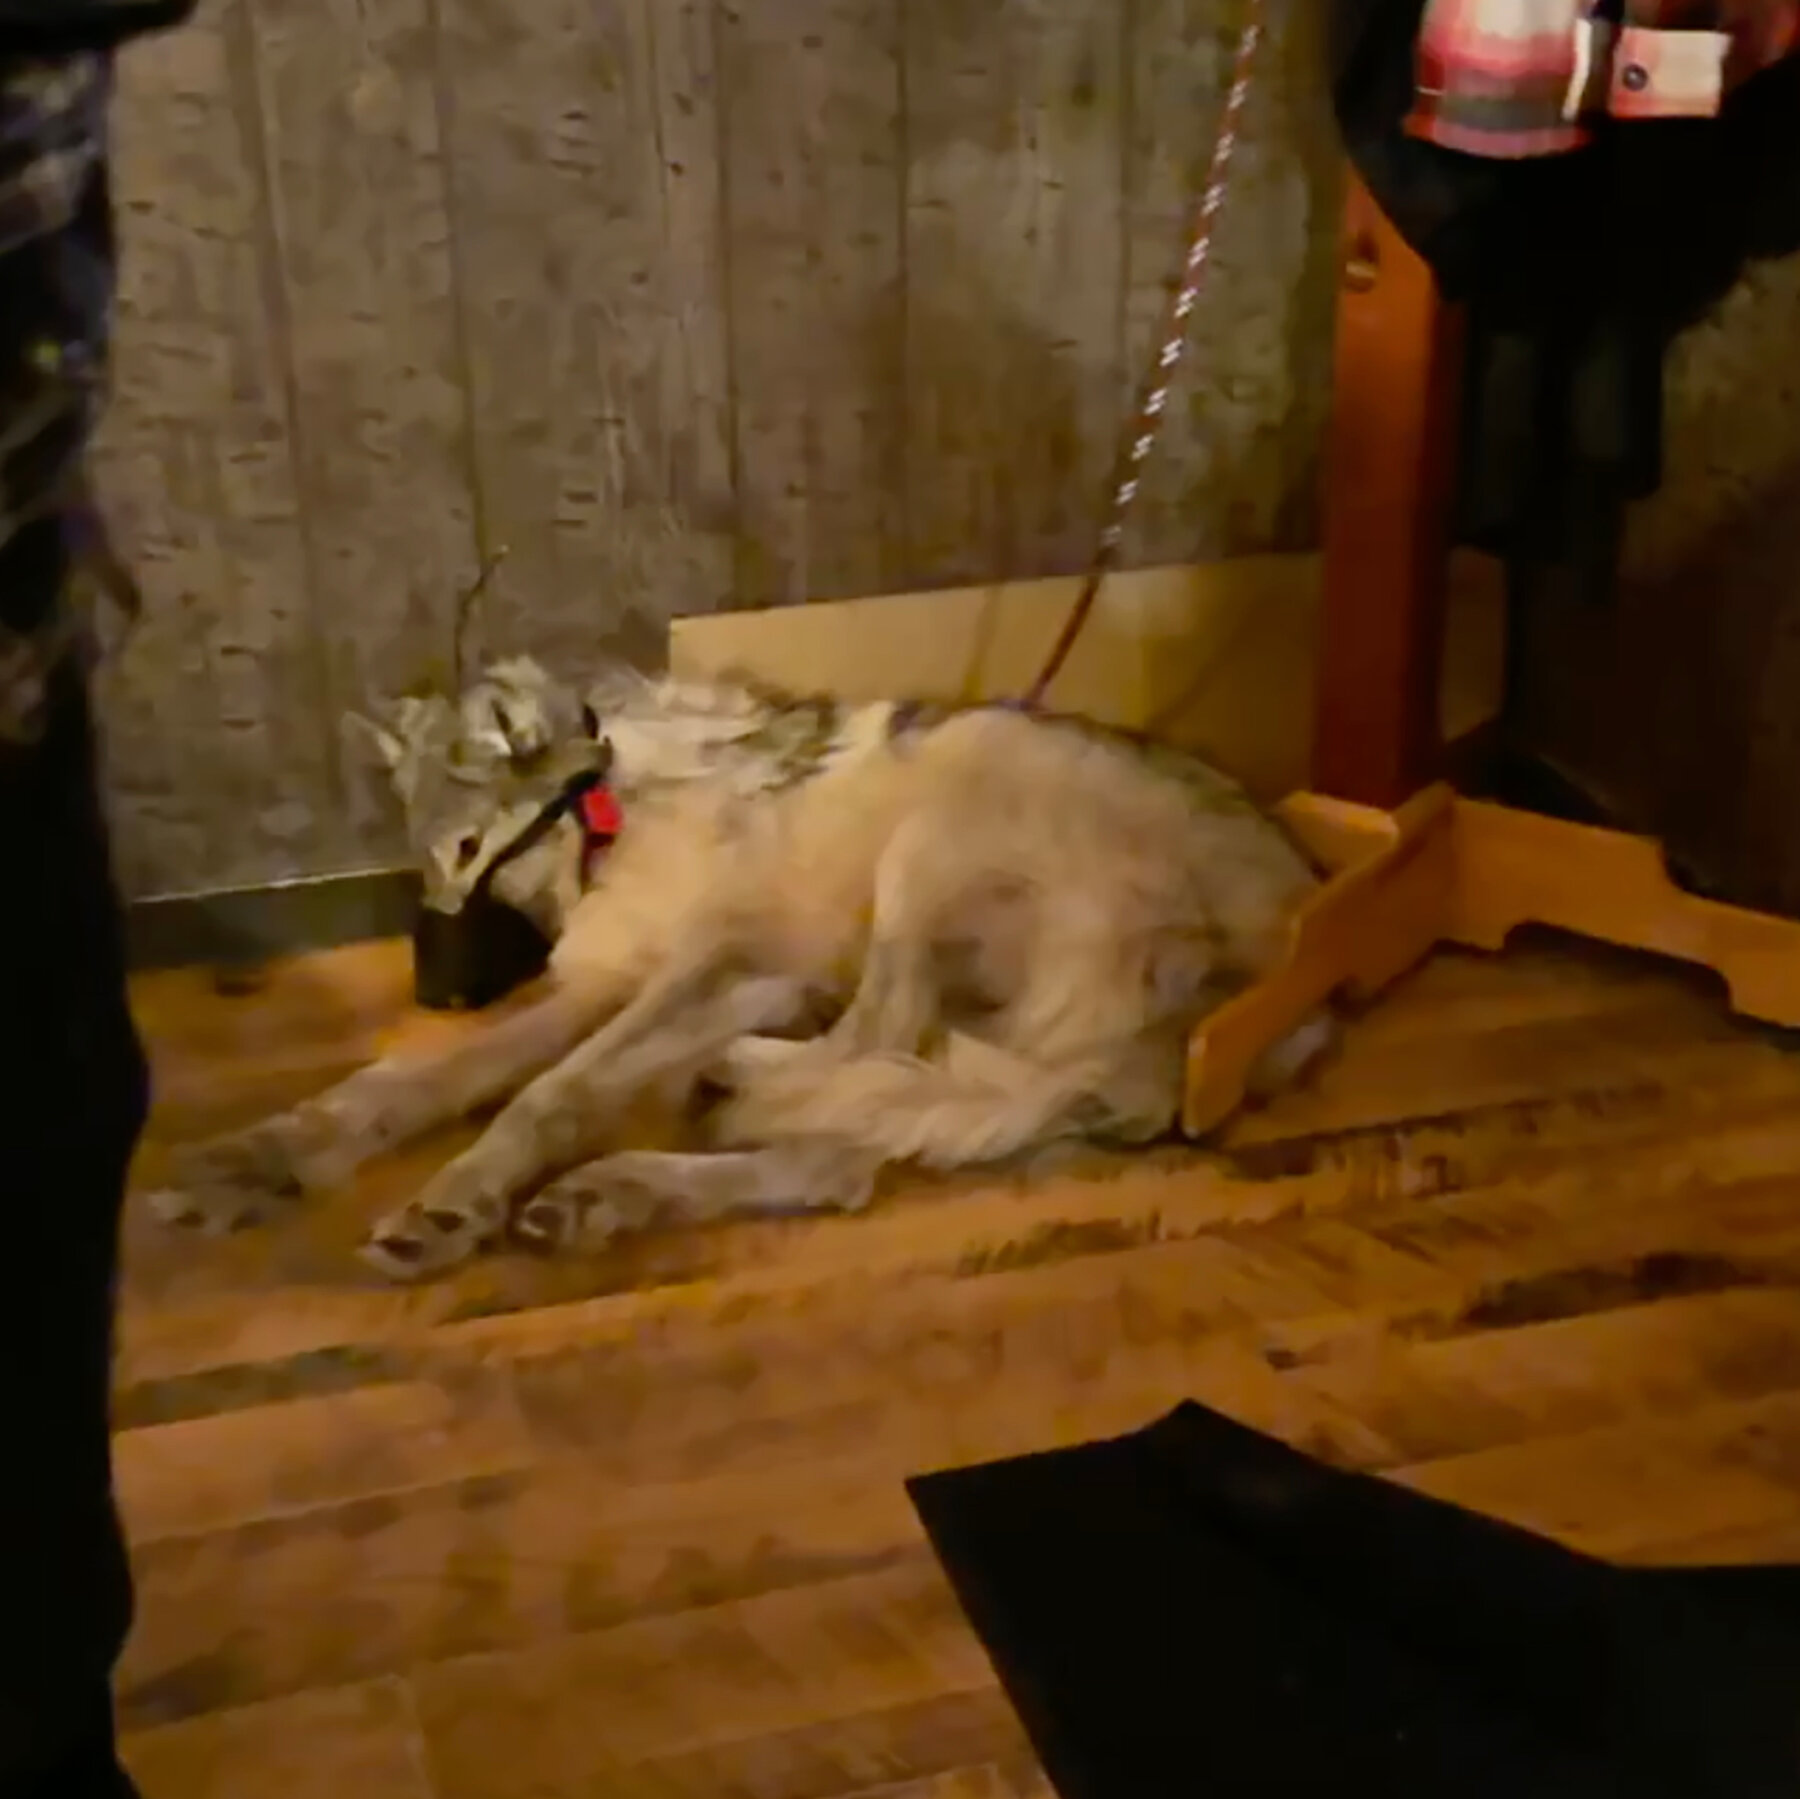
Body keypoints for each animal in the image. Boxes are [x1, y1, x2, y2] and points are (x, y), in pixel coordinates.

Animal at [145, 657, 1333, 1281]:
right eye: (428, 865)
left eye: (476, 853)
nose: (430, 992)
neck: (614, 814)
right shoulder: (601, 983)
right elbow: (409, 1079)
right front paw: (264, 1156)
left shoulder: (726, 967)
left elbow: (545, 1093)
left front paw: (457, 1196)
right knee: (845, 1156)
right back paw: (627, 1184)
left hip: (950, 803)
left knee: (873, 1044)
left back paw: (710, 1099)